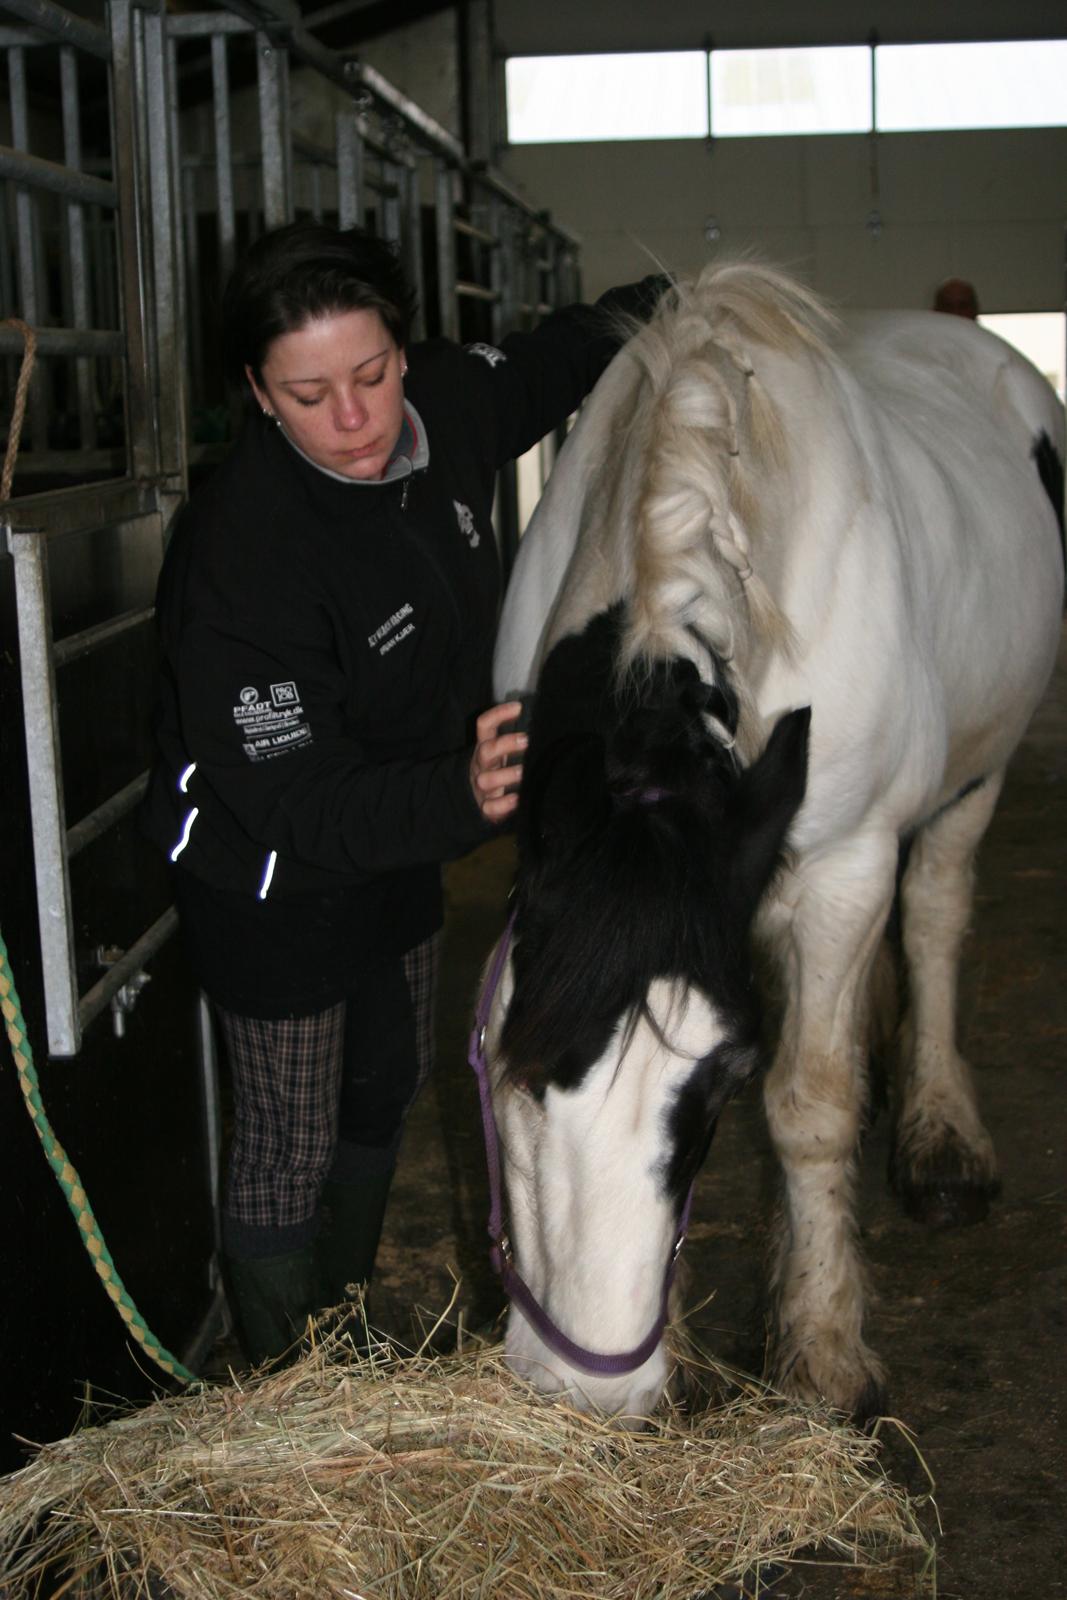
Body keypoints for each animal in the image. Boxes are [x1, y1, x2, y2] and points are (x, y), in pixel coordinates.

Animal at [483, 262, 1062, 1427]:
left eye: (718, 1084)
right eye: (513, 1073)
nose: (586, 1396)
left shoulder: (842, 868)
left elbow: (809, 1105)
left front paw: (822, 1353)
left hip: (971, 780)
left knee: (932, 916)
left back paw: (939, 1136)